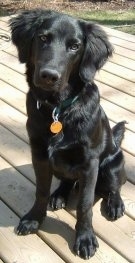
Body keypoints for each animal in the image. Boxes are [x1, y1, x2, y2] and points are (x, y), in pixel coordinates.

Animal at [10, 9, 126, 260]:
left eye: (74, 46)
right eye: (43, 38)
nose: (49, 76)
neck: (58, 110)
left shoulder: (89, 164)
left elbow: (84, 205)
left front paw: (85, 238)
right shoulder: (40, 155)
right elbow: (41, 190)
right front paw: (34, 218)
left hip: (113, 165)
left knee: (115, 186)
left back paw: (115, 204)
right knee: (67, 182)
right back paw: (59, 195)